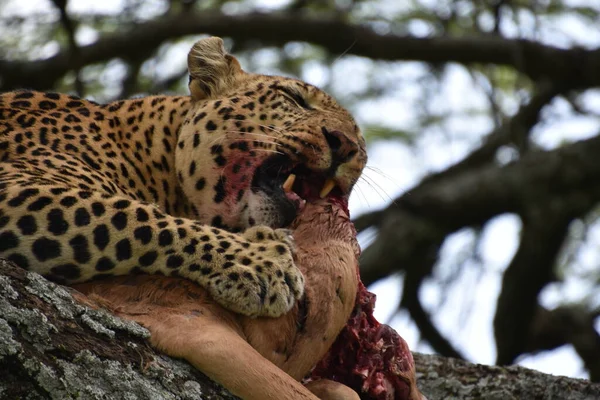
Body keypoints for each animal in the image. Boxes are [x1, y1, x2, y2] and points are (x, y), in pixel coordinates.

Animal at [0, 36, 366, 318]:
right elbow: (137, 217)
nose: (346, 144)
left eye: (360, 141)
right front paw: (259, 261)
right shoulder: (16, 183)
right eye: (294, 98)